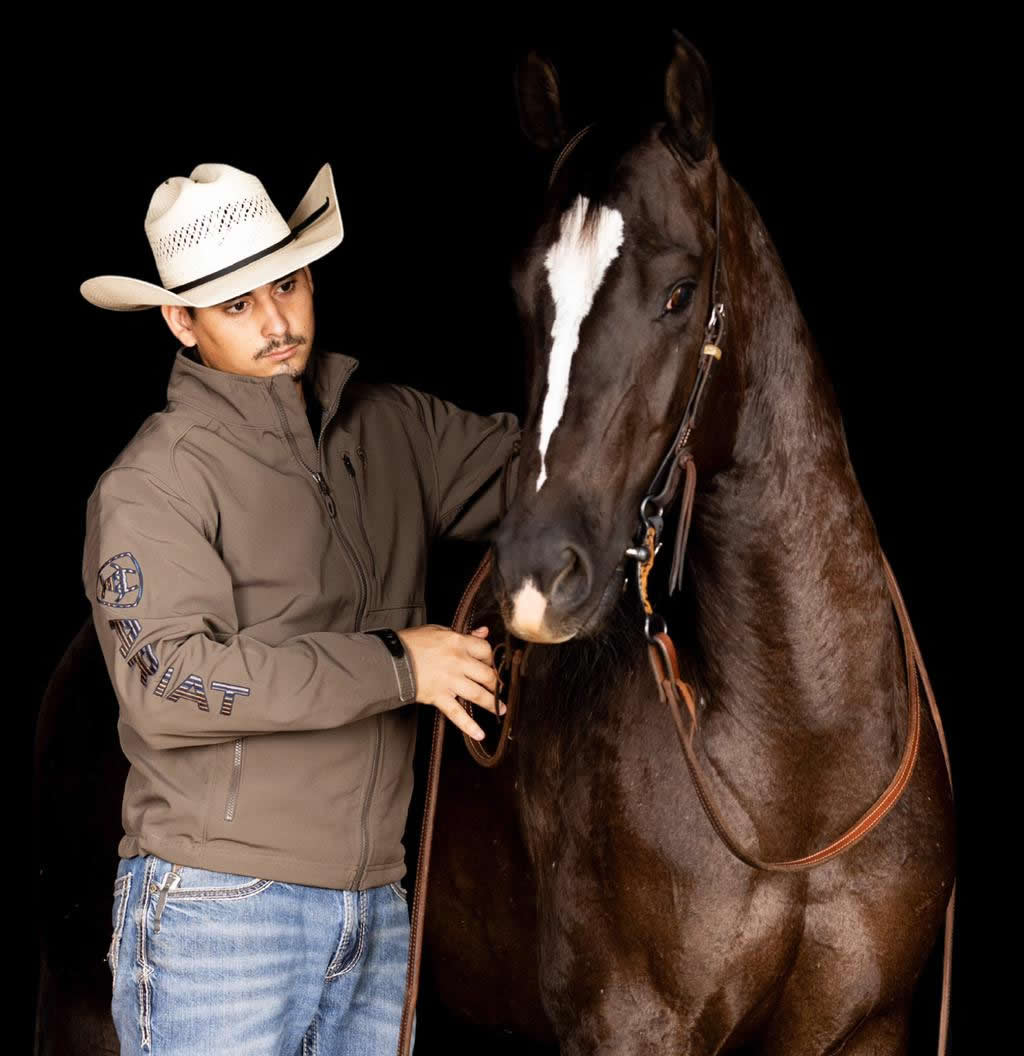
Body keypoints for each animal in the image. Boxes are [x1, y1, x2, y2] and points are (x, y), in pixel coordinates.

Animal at [413, 28, 950, 1051]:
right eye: (523, 295)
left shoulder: (864, 1027)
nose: (536, 574)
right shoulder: (632, 1024)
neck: (801, 766)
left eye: (678, 293)